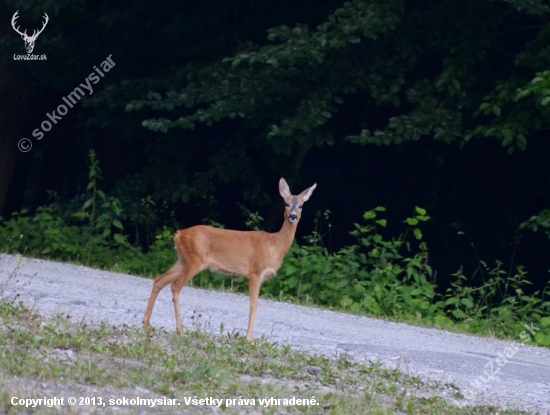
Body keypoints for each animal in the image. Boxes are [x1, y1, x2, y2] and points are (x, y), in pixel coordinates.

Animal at [142, 178, 316, 342]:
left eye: (301, 206)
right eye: (287, 203)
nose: (293, 216)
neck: (275, 245)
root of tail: (178, 234)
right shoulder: (255, 271)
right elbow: (254, 304)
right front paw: (249, 339)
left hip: (183, 260)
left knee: (159, 280)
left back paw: (146, 324)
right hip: (194, 260)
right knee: (175, 286)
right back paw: (180, 329)